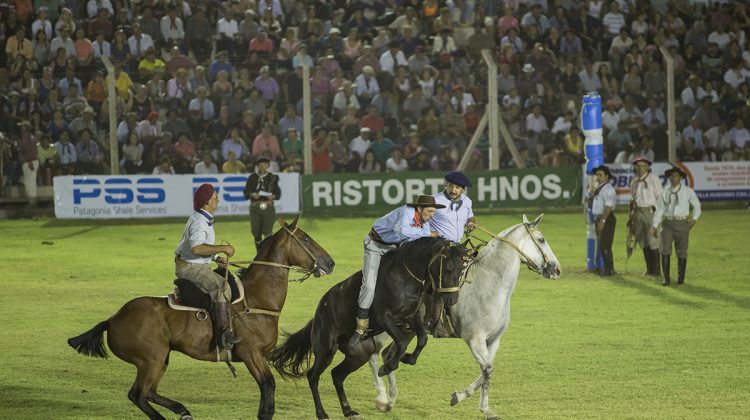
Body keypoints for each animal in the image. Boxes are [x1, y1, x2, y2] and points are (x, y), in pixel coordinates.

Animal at [67, 217, 338, 420]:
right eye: (305, 238)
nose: (330, 262)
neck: (256, 299)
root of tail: (113, 319)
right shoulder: (250, 353)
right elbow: (268, 388)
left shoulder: (259, 355)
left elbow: (266, 395)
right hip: (151, 359)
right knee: (138, 394)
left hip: (159, 359)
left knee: (147, 392)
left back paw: (182, 410)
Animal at [368, 215, 560, 418]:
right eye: (541, 239)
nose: (556, 269)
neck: (490, 284)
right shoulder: (475, 340)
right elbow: (487, 370)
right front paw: (481, 407)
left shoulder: (493, 340)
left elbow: (486, 372)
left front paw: (461, 399)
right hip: (383, 328)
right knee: (374, 356)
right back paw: (381, 397)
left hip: (407, 331)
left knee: (388, 354)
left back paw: (389, 400)